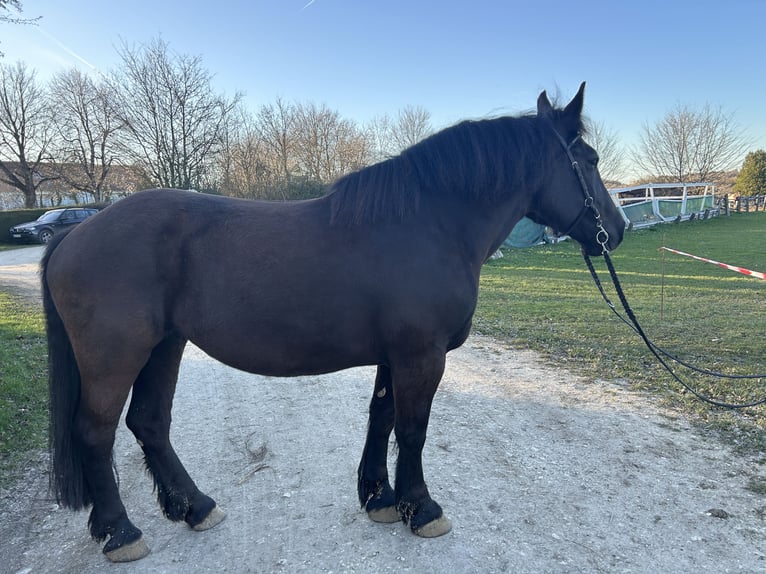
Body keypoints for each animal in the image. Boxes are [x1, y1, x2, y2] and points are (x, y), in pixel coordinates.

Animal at [41, 83, 625, 562]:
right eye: (590, 159)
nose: (614, 231)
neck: (430, 225)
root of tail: (75, 232)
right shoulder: (422, 355)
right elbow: (413, 429)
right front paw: (422, 509)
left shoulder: (396, 356)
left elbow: (381, 419)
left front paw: (380, 498)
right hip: (116, 357)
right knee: (95, 433)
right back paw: (120, 532)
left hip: (165, 345)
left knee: (150, 424)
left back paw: (196, 506)